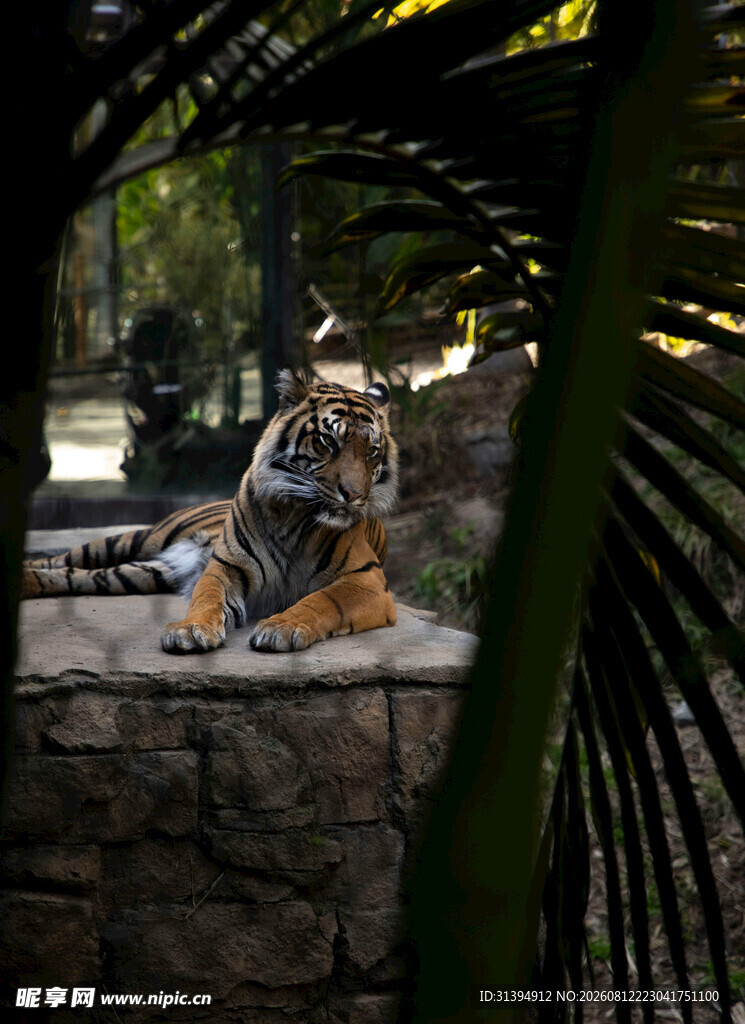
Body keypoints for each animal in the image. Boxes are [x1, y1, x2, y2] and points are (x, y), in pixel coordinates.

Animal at [22, 370, 399, 654]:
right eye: (327, 442)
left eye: (372, 451)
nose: (354, 495)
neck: (293, 515)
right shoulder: (226, 565)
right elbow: (206, 597)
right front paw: (189, 631)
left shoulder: (367, 579)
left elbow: (322, 600)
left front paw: (281, 627)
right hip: (135, 538)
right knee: (62, 559)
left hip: (144, 572)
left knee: (78, 575)